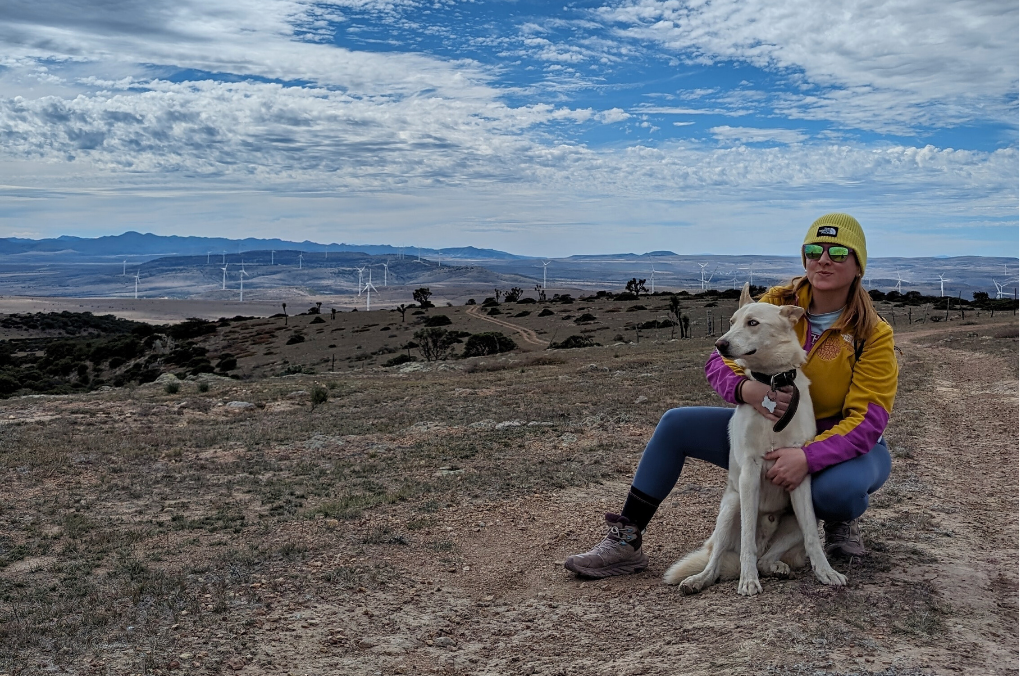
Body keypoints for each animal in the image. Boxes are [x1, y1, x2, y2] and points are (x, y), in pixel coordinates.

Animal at [660, 285, 844, 599]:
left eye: (753, 323)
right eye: (732, 322)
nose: (720, 344)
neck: (772, 383)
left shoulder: (798, 476)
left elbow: (812, 537)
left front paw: (825, 572)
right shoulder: (749, 472)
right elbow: (747, 541)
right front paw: (748, 581)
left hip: (792, 519)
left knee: (765, 556)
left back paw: (775, 566)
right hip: (730, 508)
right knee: (718, 558)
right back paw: (699, 579)